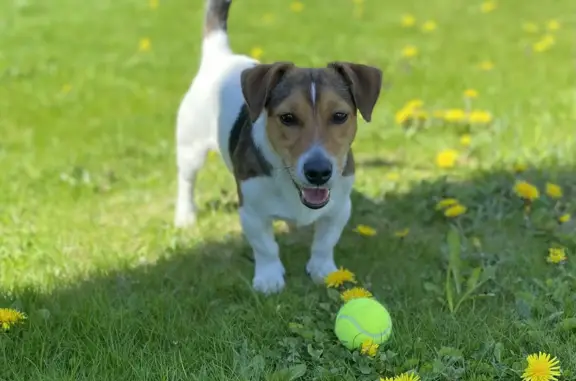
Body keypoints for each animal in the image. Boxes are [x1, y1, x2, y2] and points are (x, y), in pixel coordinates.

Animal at [176, 0, 382, 294]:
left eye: (340, 116)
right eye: (288, 118)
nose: (318, 172)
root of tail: (221, 56)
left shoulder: (340, 208)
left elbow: (325, 242)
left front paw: (323, 271)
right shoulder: (251, 212)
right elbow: (266, 247)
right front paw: (269, 279)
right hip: (190, 148)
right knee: (186, 181)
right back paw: (185, 215)